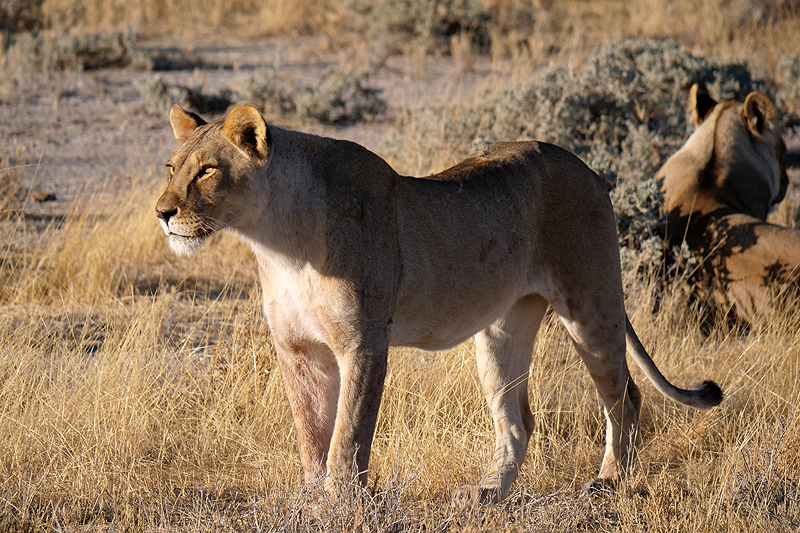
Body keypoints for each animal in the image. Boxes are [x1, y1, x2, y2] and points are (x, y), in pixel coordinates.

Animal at [153, 104, 720, 502]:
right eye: (171, 166)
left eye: (207, 171)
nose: (163, 212)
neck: (278, 240)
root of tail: (588, 168)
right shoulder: (297, 349)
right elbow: (312, 433)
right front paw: (313, 501)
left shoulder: (364, 343)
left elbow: (348, 437)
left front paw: (343, 504)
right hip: (501, 331)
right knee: (519, 421)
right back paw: (488, 495)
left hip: (591, 306)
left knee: (626, 398)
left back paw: (607, 483)